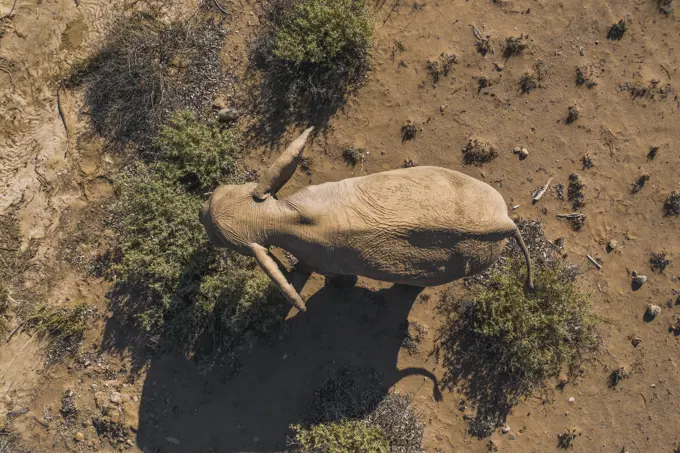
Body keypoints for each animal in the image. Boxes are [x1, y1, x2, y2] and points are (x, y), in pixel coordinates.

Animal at [199, 128, 532, 310]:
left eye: (219, 239)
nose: (202, 210)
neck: (282, 217)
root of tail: (505, 223)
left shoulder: (322, 258)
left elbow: (339, 279)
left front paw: (336, 288)